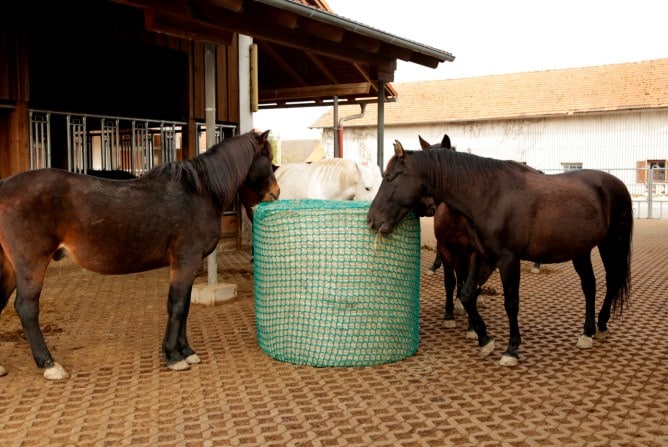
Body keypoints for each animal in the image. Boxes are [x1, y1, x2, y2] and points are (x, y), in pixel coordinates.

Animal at [0, 129, 280, 378]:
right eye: (267, 159)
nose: (276, 194)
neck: (199, 192)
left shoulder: (188, 265)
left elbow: (185, 306)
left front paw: (186, 351)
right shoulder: (186, 261)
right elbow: (177, 305)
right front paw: (173, 356)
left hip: (11, 267)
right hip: (32, 264)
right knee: (26, 308)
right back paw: (49, 364)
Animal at [368, 142, 636, 366]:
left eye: (390, 177)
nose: (371, 219)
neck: (490, 196)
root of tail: (615, 184)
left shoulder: (508, 259)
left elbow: (511, 303)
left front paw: (511, 350)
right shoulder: (484, 256)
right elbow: (467, 294)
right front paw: (484, 339)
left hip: (611, 244)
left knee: (611, 281)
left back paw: (601, 324)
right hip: (580, 250)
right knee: (589, 286)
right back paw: (588, 332)